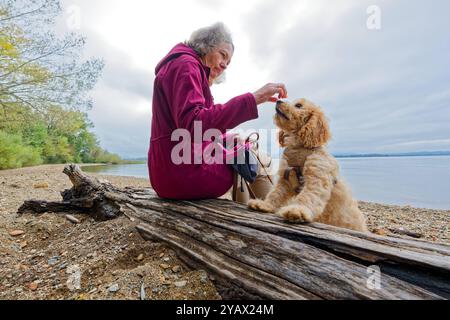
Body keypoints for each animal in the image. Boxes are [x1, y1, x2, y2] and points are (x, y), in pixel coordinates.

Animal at [248, 99, 368, 231]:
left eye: (298, 105)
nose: (278, 100)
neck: (299, 149)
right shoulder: (285, 179)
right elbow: (275, 193)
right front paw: (264, 204)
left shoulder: (316, 178)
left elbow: (307, 196)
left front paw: (297, 211)